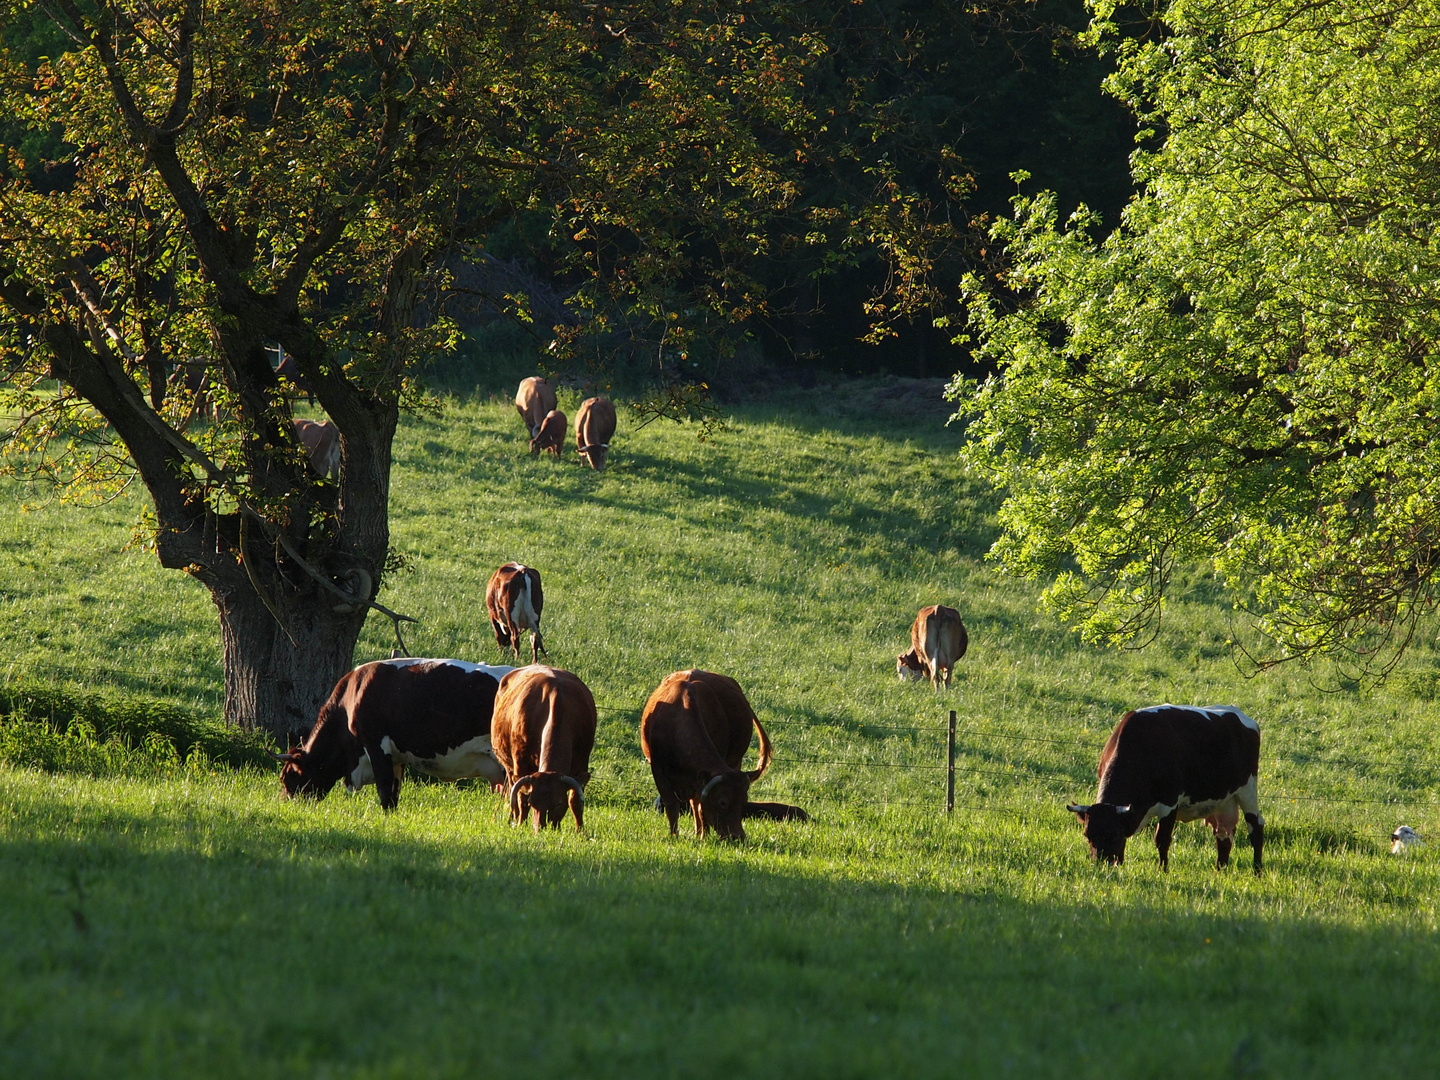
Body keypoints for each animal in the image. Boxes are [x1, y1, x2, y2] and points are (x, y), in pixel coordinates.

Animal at [272, 659, 515, 812]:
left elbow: (385, 792)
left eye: (287, 777)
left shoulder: (376, 746)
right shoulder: (397, 758)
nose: (285, 804)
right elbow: (394, 793)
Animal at [486, 665, 593, 835]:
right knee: (512, 791)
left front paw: (580, 831)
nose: (541, 829)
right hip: (509, 766)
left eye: (559, 803)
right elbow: (521, 798)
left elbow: (575, 800)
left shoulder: (581, 763)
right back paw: (513, 819)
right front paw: (520, 824)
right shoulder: (521, 763)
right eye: (533, 802)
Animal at [645, 668, 777, 846]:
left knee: (696, 804)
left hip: (735, 761)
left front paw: (703, 836)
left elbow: (700, 807)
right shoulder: (659, 771)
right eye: (722, 802)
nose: (737, 837)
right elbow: (672, 806)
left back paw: (699, 833)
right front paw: (674, 836)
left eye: (743, 802)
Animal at [1065, 705, 1267, 875]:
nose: (1101, 864)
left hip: (1248, 789)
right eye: (1087, 835)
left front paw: (1163, 870)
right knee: (1224, 834)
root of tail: (1241, 715)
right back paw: (1219, 870)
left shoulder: (1169, 803)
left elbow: (1162, 839)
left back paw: (1257, 870)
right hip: (1224, 800)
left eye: (1113, 835)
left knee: (1255, 827)